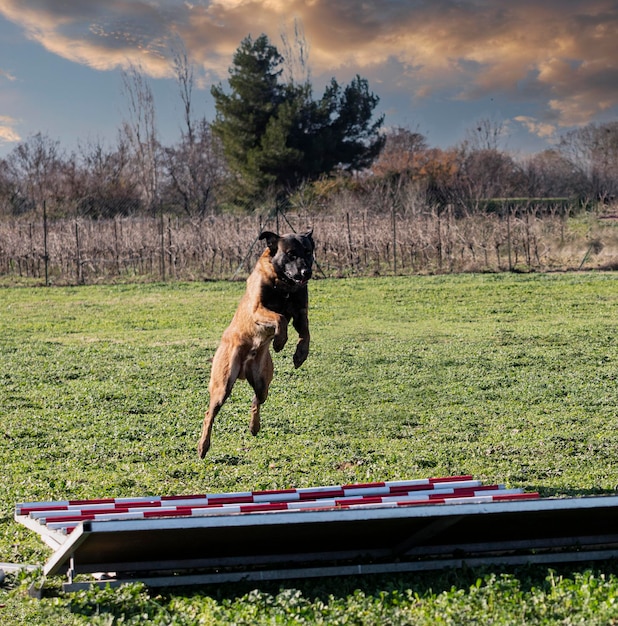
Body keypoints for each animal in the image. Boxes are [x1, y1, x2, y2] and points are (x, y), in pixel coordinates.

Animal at [197, 227, 312, 456]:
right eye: (291, 254)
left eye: (308, 252)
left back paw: (254, 426)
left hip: (262, 382)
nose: (306, 272)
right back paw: (203, 446)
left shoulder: (301, 313)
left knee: (255, 400)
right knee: (209, 414)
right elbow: (280, 318)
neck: (283, 286)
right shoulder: (258, 309)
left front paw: (300, 354)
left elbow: (305, 333)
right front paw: (279, 342)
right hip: (223, 384)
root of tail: (243, 369)